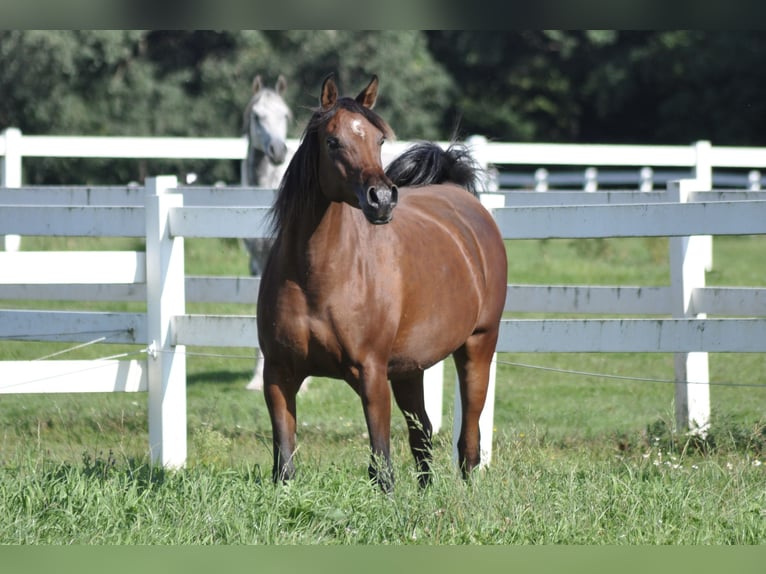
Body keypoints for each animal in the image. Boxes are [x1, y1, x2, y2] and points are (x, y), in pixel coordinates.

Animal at [256, 74, 507, 492]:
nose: (383, 199)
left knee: (469, 441)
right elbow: (284, 465)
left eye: (378, 141)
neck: (316, 278)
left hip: (478, 347)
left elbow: (381, 467)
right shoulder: (278, 375)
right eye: (332, 141)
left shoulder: (371, 374)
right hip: (409, 368)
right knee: (422, 432)